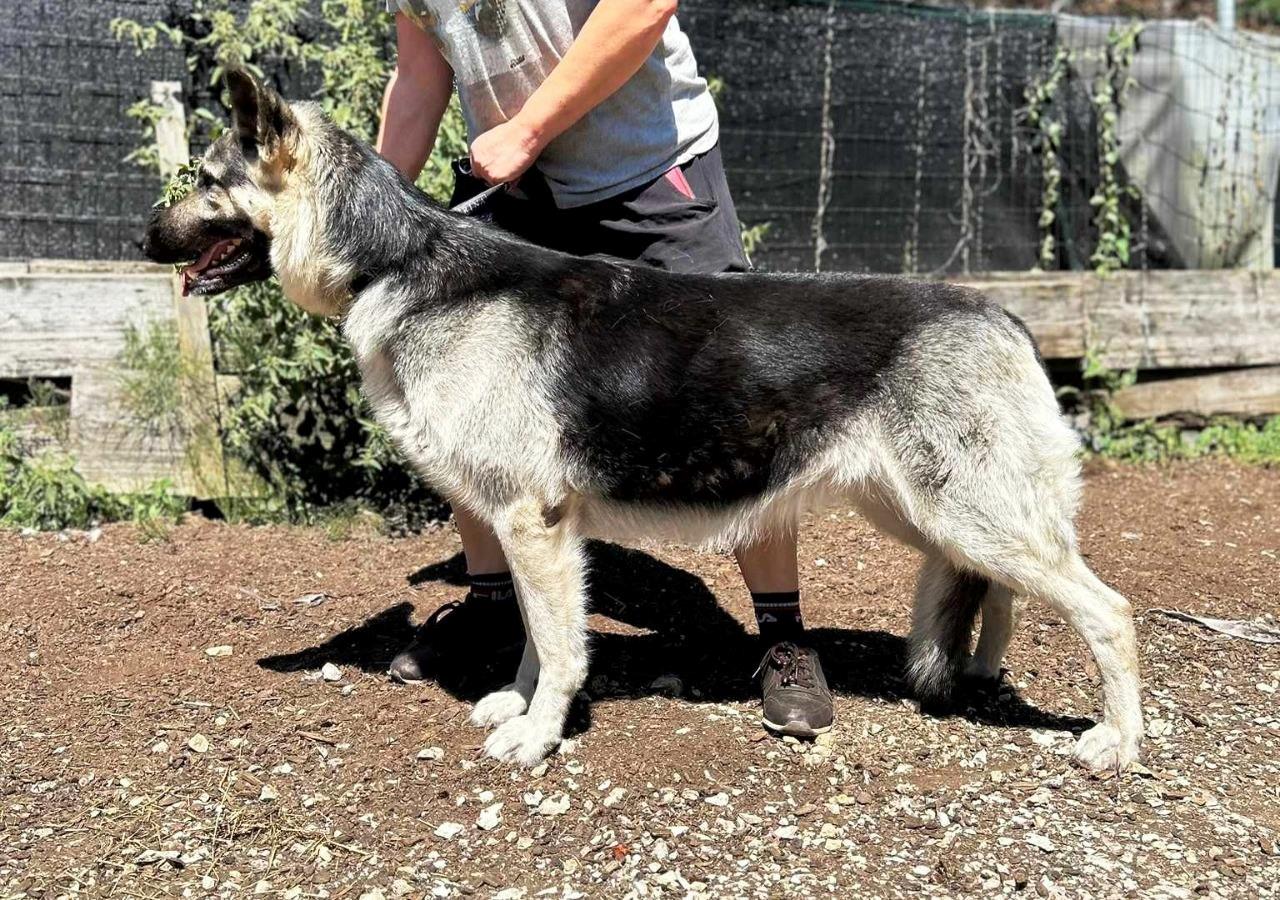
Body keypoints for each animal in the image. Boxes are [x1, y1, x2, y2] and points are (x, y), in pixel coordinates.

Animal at [142, 69, 1143, 771]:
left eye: (202, 179)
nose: (140, 238)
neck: (400, 261)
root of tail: (1002, 312)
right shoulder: (532, 533)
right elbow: (536, 640)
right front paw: (522, 708)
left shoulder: (534, 525)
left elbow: (555, 645)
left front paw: (539, 738)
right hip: (928, 514)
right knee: (1002, 588)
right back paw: (979, 671)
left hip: (963, 512)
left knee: (1109, 611)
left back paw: (1116, 740)